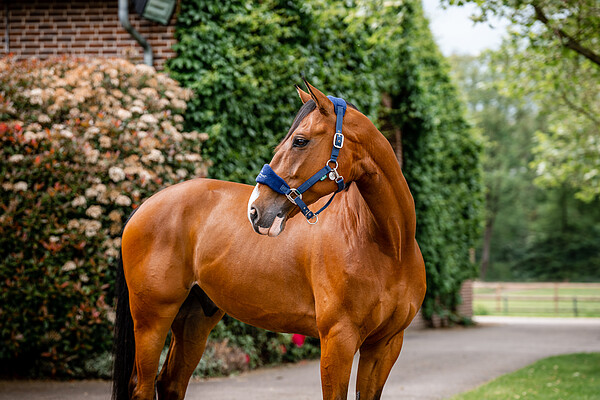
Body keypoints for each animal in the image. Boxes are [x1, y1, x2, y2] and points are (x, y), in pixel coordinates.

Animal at [110, 79, 424, 398]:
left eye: (300, 141)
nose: (255, 210)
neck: (388, 246)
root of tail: (143, 206)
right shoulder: (338, 340)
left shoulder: (385, 345)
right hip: (151, 321)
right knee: (142, 386)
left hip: (195, 319)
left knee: (170, 382)